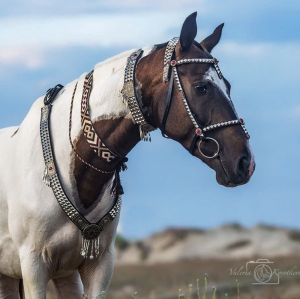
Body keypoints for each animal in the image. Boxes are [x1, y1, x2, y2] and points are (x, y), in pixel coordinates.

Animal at [0, 12, 255, 299]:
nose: (245, 162)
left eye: (228, 86)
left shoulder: (99, 264)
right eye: (201, 87)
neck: (71, 170)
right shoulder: (34, 266)